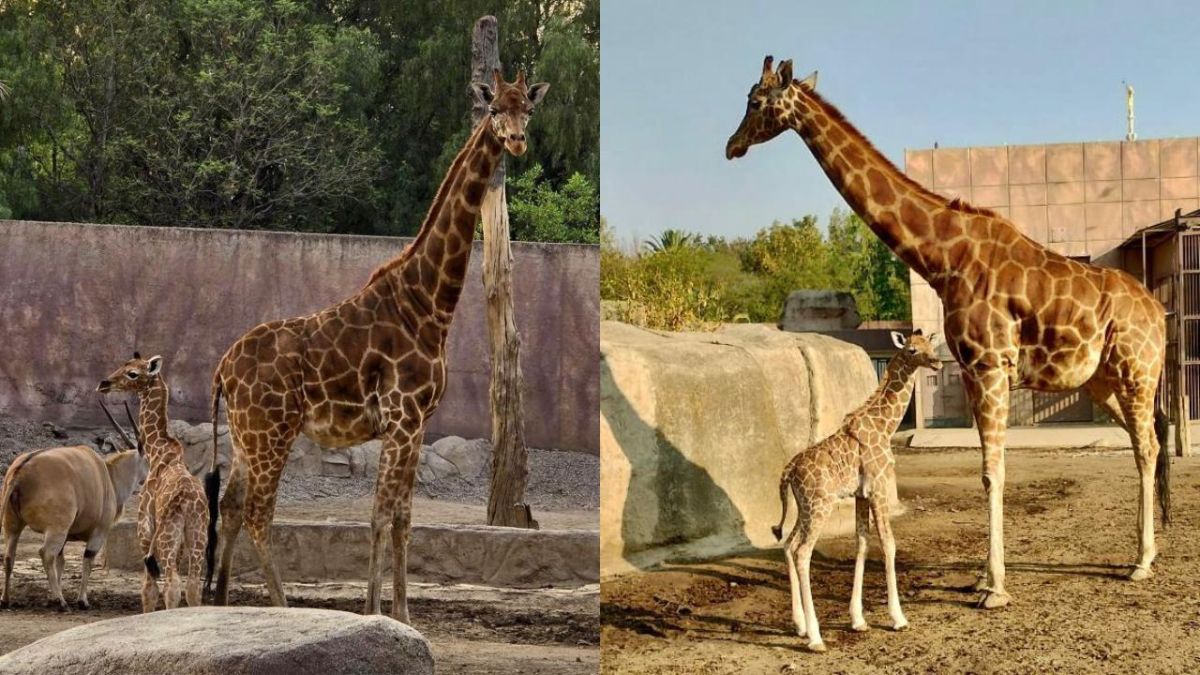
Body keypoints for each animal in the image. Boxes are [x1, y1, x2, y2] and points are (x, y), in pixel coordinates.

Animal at [0, 403, 145, 610]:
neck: (109, 476)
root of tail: (20, 472)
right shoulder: (99, 532)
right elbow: (87, 561)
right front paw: (81, 600)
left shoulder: (66, 536)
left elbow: (61, 563)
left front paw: (53, 596)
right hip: (56, 529)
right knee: (46, 554)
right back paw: (61, 602)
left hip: (13, 526)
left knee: (9, 557)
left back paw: (6, 600)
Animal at [98, 353, 216, 610]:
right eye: (123, 365)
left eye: (133, 373)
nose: (104, 384)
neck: (158, 451)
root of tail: (189, 502)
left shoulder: (145, 527)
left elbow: (148, 588)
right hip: (197, 536)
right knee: (193, 585)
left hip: (167, 536)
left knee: (172, 583)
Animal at [211, 68, 549, 619]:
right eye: (496, 108)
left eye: (529, 109)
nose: (517, 141)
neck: (428, 304)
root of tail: (221, 369)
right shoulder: (402, 418)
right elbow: (379, 515)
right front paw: (374, 612)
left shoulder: (416, 425)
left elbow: (403, 519)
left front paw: (403, 615)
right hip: (271, 433)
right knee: (260, 514)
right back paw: (282, 608)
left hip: (246, 438)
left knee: (232, 507)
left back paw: (219, 606)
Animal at [724, 56, 1166, 605]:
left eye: (755, 101)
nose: (732, 145)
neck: (943, 258)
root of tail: (1159, 310)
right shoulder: (975, 370)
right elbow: (988, 470)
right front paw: (982, 576)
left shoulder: (989, 364)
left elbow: (992, 473)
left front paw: (994, 588)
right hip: (1102, 382)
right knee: (1145, 446)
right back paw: (1145, 554)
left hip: (1136, 374)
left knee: (1148, 447)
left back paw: (1142, 562)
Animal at [772, 329, 940, 648]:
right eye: (912, 350)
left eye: (930, 346)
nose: (936, 362)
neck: (885, 426)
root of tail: (788, 471)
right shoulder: (879, 488)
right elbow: (888, 543)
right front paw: (898, 618)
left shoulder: (861, 494)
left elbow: (861, 544)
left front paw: (858, 619)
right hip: (820, 505)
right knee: (802, 552)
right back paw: (815, 638)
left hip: (805, 507)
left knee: (788, 544)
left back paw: (799, 625)